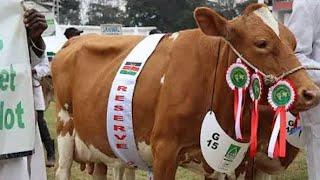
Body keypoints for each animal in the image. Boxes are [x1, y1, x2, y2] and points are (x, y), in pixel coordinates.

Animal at [51, 4, 318, 180]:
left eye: (294, 44)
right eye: (261, 43)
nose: (311, 93)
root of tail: (74, 41)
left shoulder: (229, 160)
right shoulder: (164, 150)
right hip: (65, 128)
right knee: (62, 169)